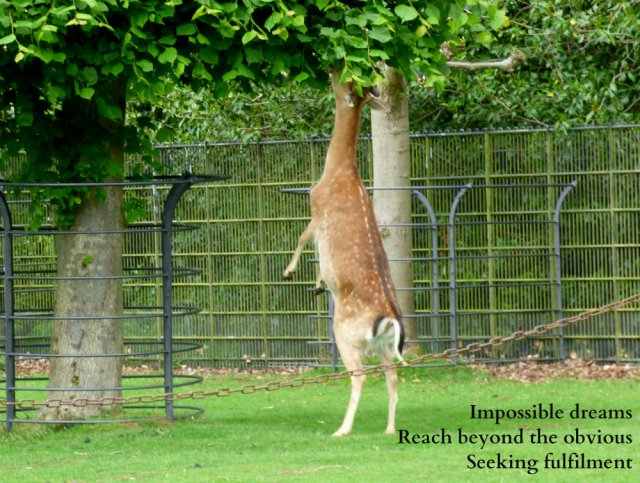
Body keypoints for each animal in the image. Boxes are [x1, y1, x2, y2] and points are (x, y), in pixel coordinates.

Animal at [283, 69, 406, 437]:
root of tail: (389, 318)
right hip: (384, 346)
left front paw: (291, 272)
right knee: (393, 376)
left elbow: (302, 237)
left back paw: (342, 429)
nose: (333, 68)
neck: (337, 171)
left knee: (360, 376)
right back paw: (389, 429)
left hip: (346, 334)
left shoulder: (317, 207)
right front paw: (318, 283)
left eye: (345, 84)